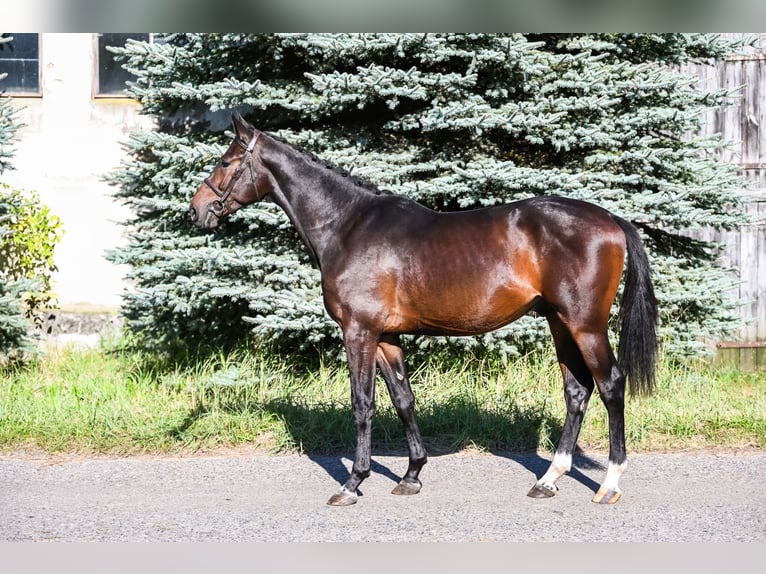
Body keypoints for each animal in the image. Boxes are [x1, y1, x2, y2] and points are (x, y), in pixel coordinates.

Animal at [190, 113, 660, 508]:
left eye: (226, 161)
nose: (197, 210)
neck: (346, 226)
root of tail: (612, 220)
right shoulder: (386, 336)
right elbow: (403, 399)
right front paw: (412, 475)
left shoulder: (358, 331)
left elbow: (363, 404)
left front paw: (352, 483)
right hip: (560, 322)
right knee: (576, 391)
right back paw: (548, 479)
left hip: (586, 325)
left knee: (610, 385)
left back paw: (609, 484)